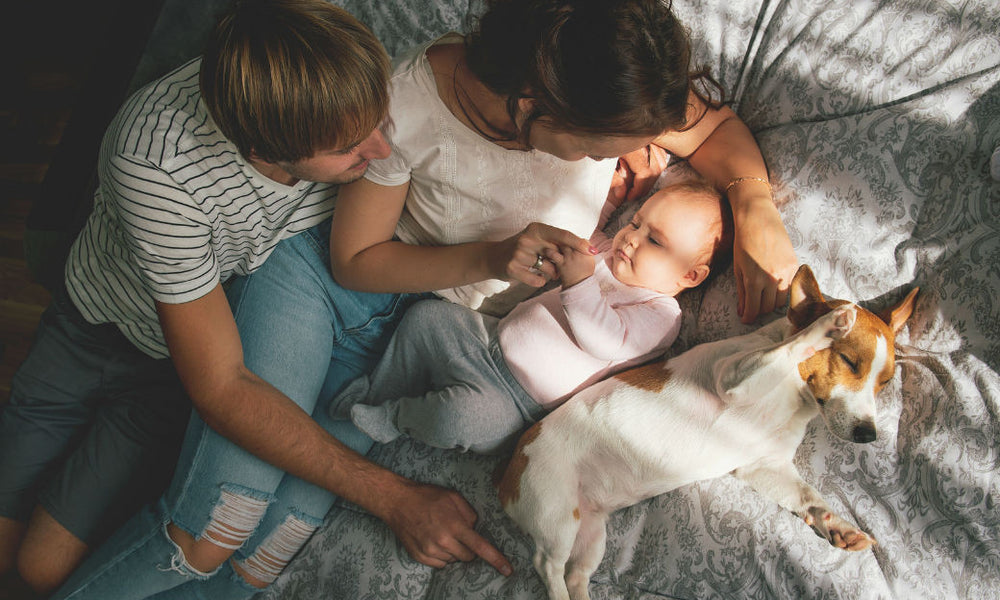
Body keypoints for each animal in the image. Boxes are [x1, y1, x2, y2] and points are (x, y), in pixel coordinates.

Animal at [496, 264, 916, 600]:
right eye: (848, 361)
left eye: (885, 382)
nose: (868, 435)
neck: (799, 398)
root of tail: (509, 467)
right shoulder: (734, 378)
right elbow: (792, 347)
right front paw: (827, 326)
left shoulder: (765, 466)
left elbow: (810, 498)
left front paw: (838, 526)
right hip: (557, 517)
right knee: (547, 566)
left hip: (591, 534)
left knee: (575, 575)